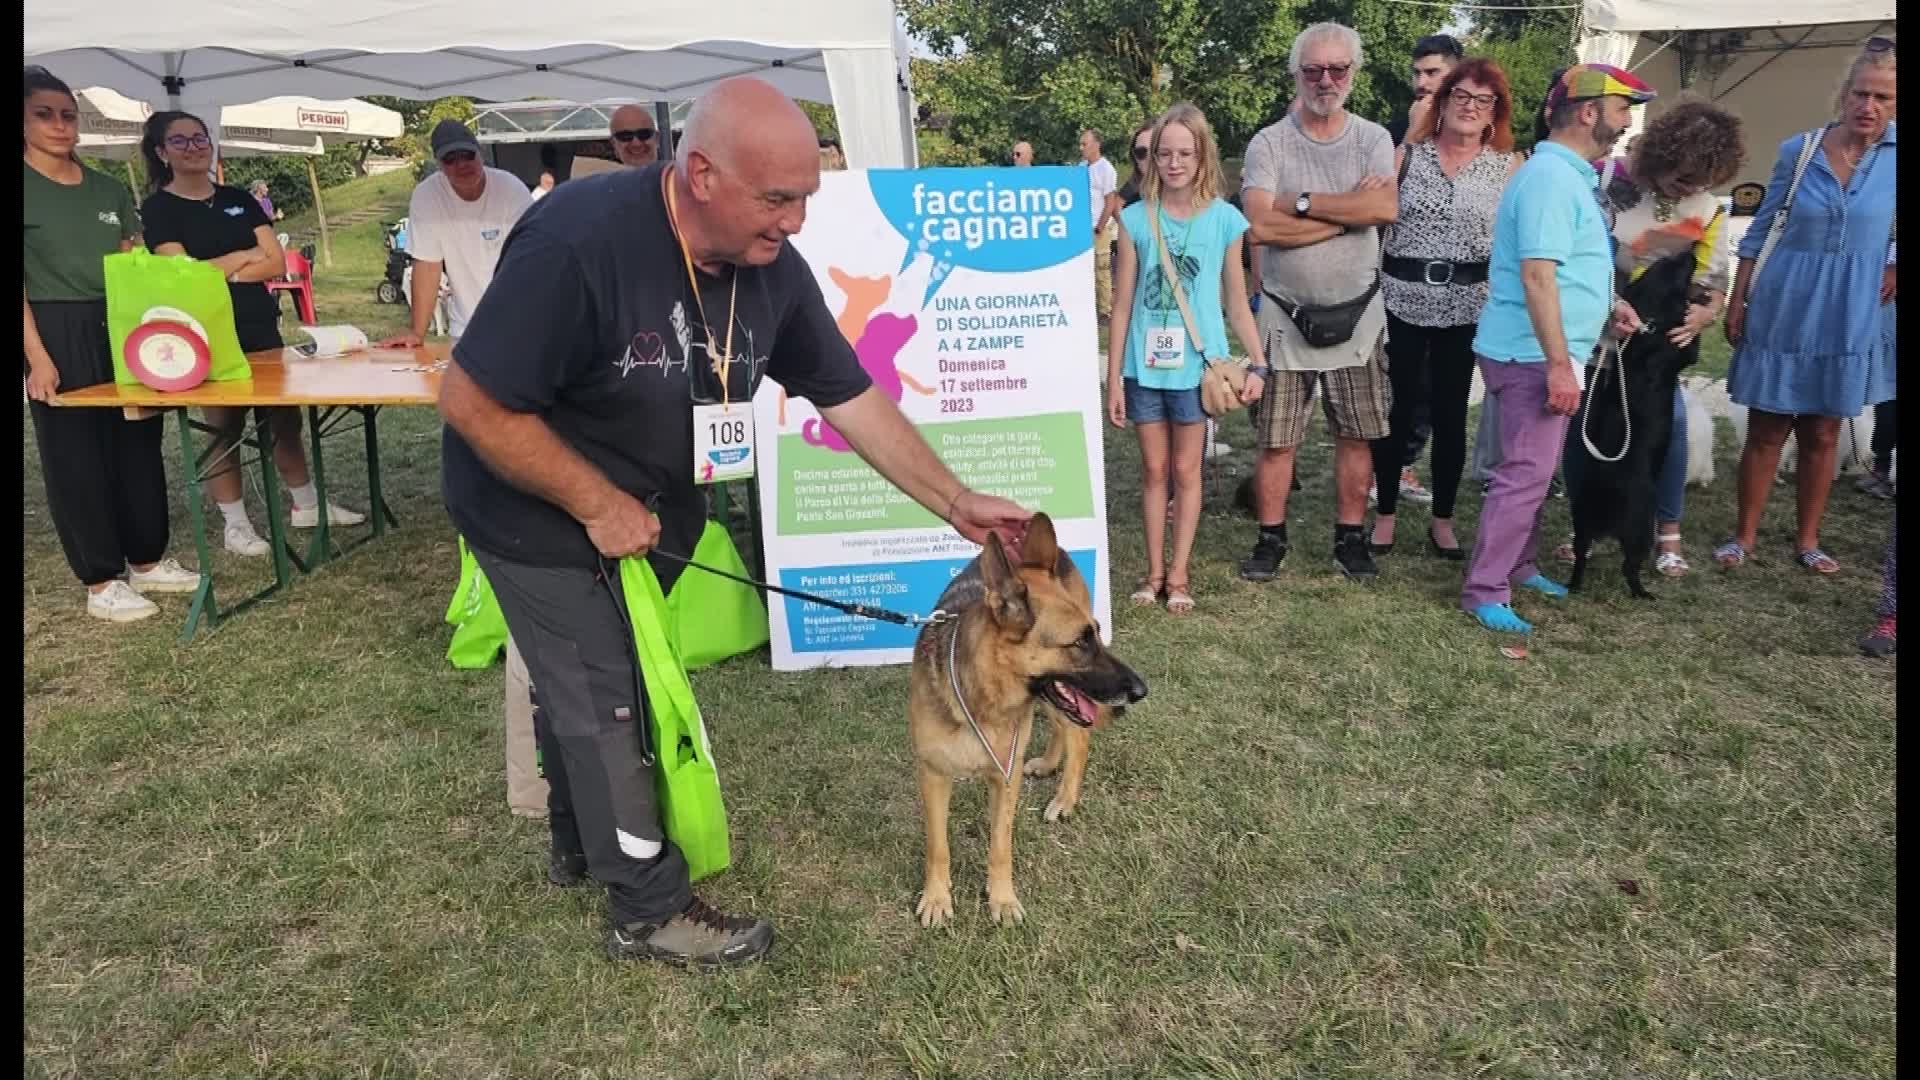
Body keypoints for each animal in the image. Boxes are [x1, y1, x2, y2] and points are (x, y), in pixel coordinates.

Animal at [906, 511, 1144, 926]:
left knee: (1079, 737)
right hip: (1050, 702)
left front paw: (1001, 899)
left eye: (1097, 634)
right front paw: (937, 898)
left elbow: (1001, 844)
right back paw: (1048, 764)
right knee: (1063, 730)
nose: (1140, 690)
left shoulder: (1006, 776)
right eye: (1080, 642)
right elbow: (938, 846)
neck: (984, 702)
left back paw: (1065, 799)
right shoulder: (934, 775)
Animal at [1566, 251, 1704, 595]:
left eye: (1664, 263)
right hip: (1639, 531)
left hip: (1582, 523)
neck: (1649, 323)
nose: (1692, 252)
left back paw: (1573, 585)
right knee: (1630, 568)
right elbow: (1690, 341)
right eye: (1675, 267)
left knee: (1580, 558)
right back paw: (1643, 594)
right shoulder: (1684, 350)